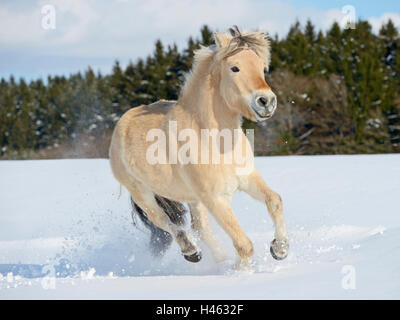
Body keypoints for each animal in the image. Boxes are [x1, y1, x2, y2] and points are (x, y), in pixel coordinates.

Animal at [109, 25, 290, 266]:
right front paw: (241, 270)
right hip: (143, 193)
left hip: (193, 199)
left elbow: (275, 201)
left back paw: (217, 259)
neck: (215, 140)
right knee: (165, 221)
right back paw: (191, 251)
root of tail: (124, 121)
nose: (267, 102)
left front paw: (280, 249)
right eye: (235, 68)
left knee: (199, 228)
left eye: (262, 67)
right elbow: (244, 245)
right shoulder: (215, 199)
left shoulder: (247, 178)